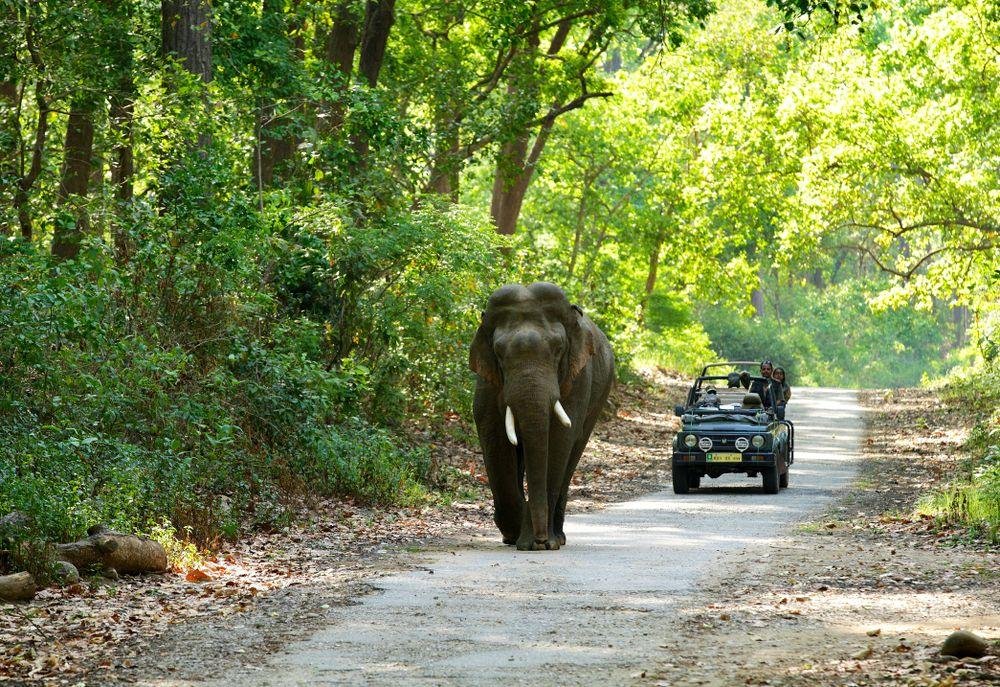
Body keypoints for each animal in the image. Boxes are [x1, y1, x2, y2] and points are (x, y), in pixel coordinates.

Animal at [469, 282, 615, 551]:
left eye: (558, 349)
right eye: (498, 352)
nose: (539, 539)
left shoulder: (577, 380)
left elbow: (558, 440)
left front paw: (540, 543)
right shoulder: (487, 381)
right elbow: (495, 438)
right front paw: (518, 535)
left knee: (572, 454)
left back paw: (558, 537)